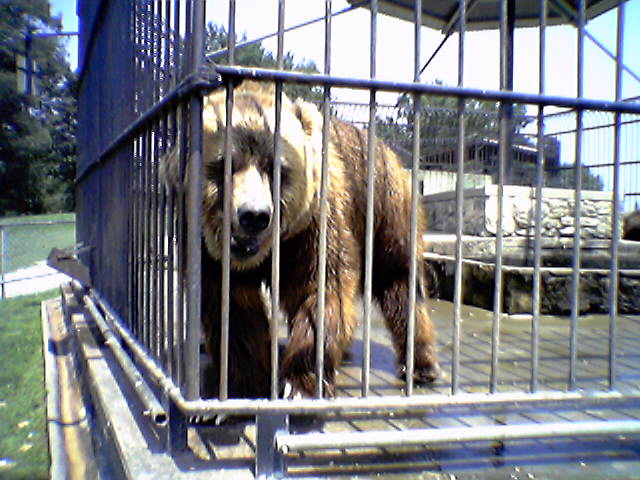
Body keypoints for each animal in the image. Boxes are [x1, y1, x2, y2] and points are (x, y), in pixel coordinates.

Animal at [161, 81, 438, 399]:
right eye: (224, 164)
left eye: (277, 168)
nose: (253, 216)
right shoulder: (203, 242)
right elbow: (232, 308)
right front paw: (246, 383)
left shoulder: (314, 224)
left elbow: (322, 290)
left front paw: (299, 384)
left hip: (385, 204)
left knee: (399, 278)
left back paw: (420, 365)